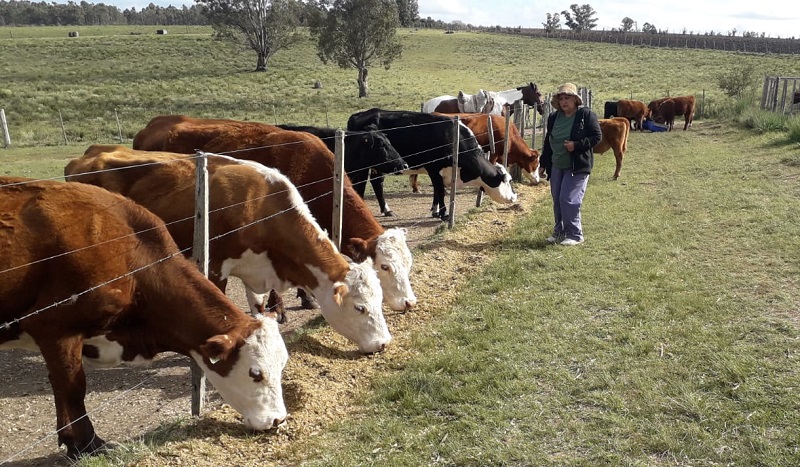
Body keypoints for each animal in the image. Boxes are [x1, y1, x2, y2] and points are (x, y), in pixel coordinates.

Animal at [0, 177, 288, 458]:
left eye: (283, 366)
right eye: (255, 373)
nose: (278, 420)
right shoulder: (55, 328)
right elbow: (71, 387)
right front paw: (86, 443)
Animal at [63, 146, 390, 354]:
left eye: (380, 300)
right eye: (360, 308)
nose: (384, 344)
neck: (261, 205)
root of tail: (85, 157)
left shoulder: (256, 270)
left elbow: (258, 307)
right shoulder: (215, 266)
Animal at [346, 109, 516, 220]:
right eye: (508, 181)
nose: (515, 197)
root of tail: (358, 115)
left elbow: (437, 191)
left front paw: (435, 210)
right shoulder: (433, 169)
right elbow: (440, 190)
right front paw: (444, 213)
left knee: (376, 183)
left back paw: (386, 210)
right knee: (362, 184)